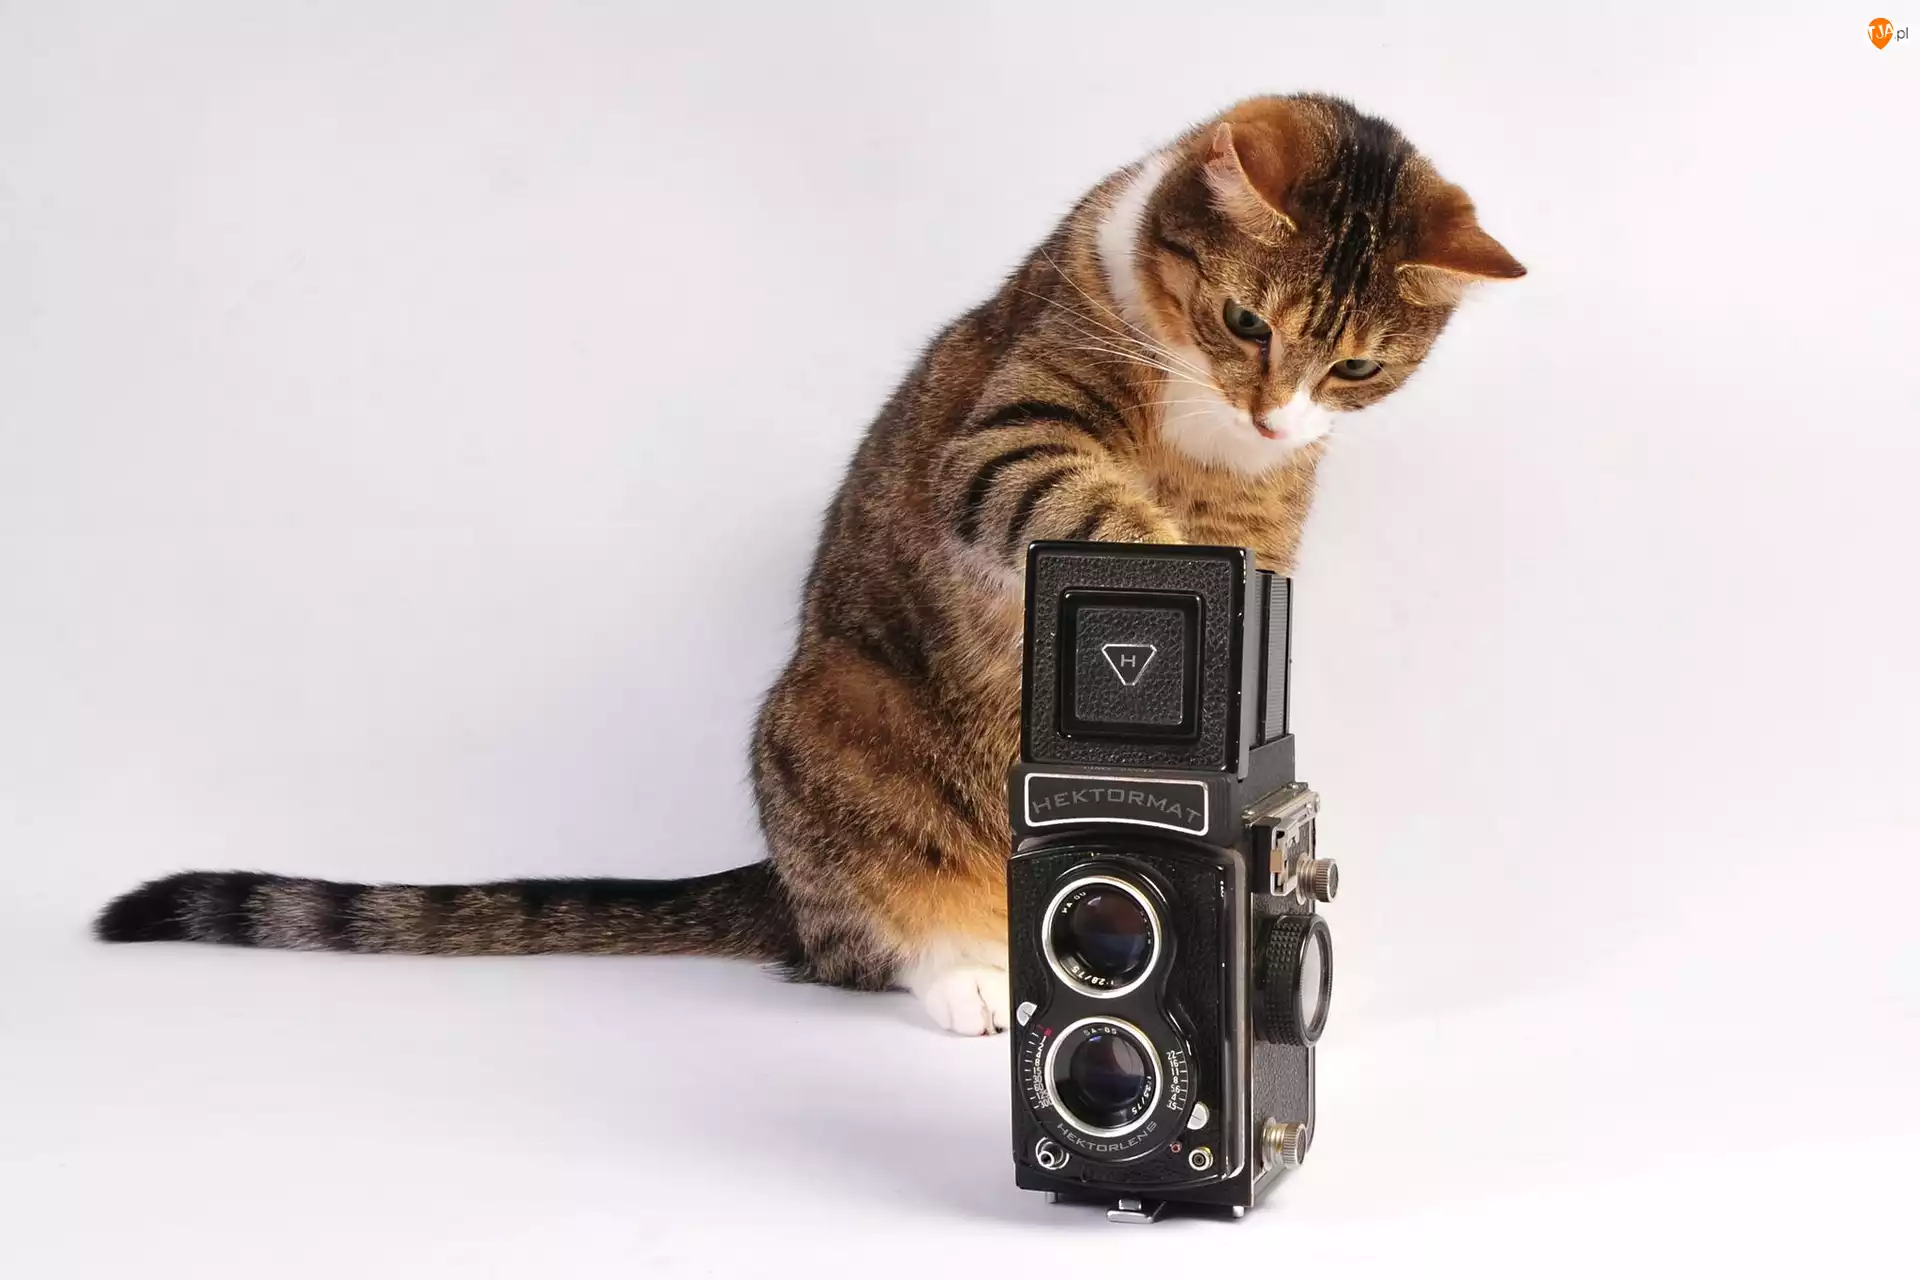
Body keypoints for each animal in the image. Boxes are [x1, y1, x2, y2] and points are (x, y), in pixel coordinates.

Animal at [96, 94, 1522, 1035]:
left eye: (1357, 366)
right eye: (1241, 320)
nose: (1279, 413)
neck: (1207, 439)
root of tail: (776, 886)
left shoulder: (1279, 509)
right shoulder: (1007, 427)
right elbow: (1067, 493)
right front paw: (1159, 573)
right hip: (833, 716)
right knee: (863, 940)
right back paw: (968, 978)